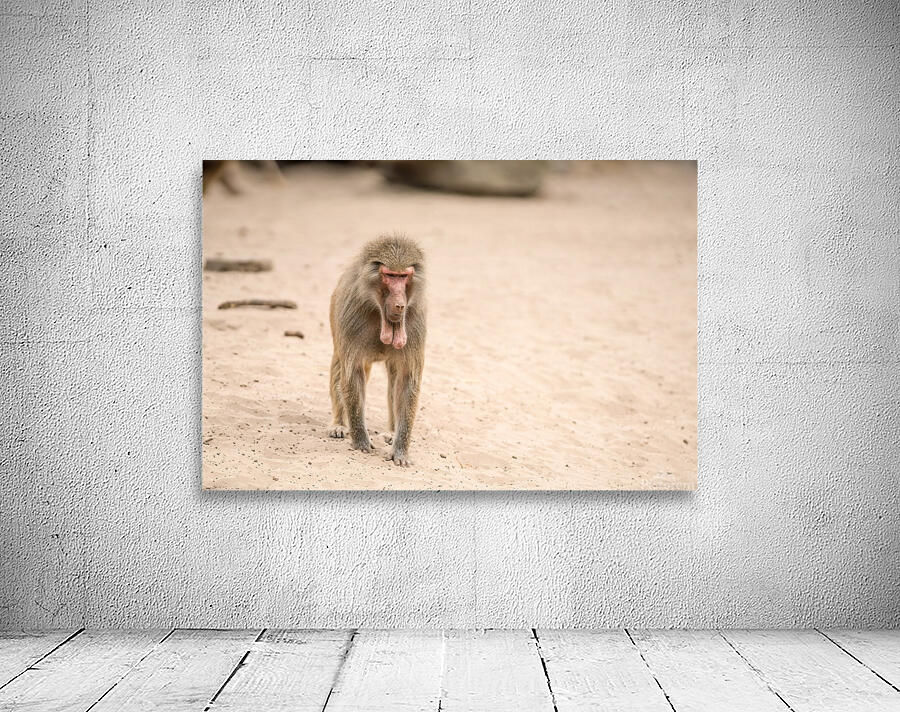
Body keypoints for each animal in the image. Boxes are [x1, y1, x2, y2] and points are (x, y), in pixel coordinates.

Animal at [328, 234, 426, 466]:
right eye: (389, 275)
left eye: (403, 276)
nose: (399, 305)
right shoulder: (351, 315)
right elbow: (351, 374)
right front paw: (361, 442)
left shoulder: (414, 320)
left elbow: (407, 380)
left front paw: (400, 451)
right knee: (339, 367)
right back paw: (339, 424)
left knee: (394, 379)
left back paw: (391, 432)